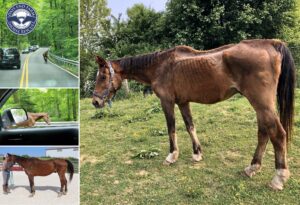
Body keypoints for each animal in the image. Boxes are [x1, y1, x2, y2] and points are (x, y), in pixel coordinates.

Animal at [91, 39, 296, 191]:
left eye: (103, 76)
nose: (95, 102)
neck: (159, 66)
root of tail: (271, 44)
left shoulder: (167, 102)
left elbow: (171, 128)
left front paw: (172, 156)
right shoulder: (183, 102)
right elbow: (190, 126)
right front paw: (197, 153)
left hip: (261, 103)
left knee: (278, 134)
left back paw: (278, 178)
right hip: (261, 106)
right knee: (263, 133)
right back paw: (252, 167)